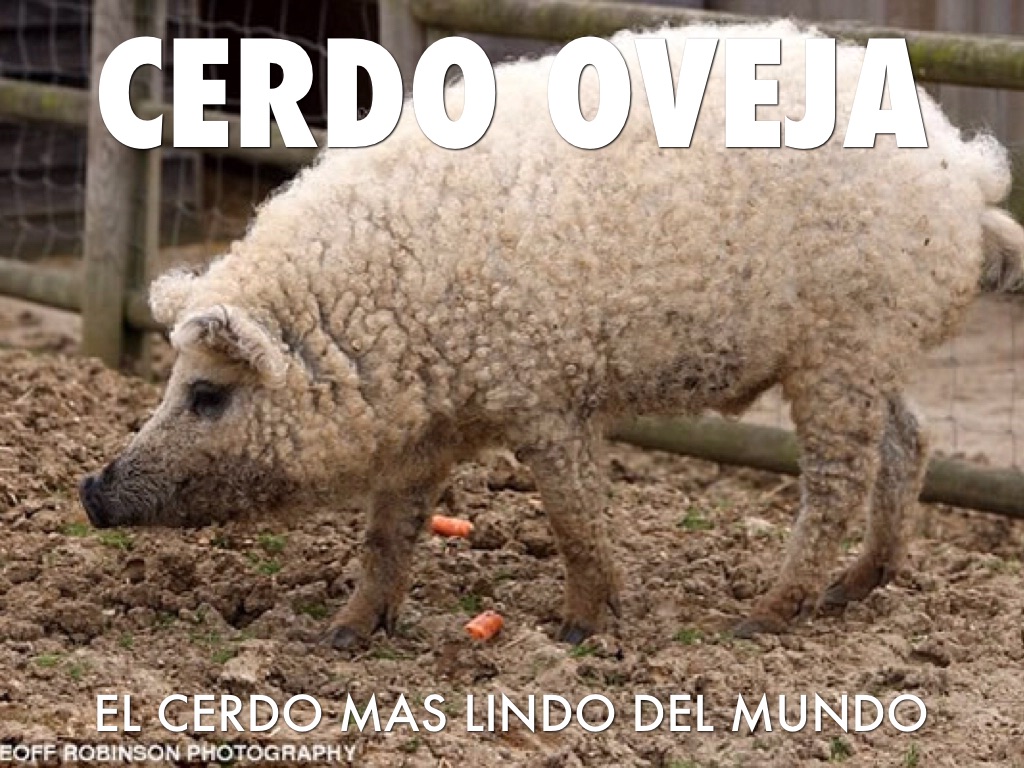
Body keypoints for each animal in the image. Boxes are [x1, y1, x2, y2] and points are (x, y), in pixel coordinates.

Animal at [79, 20, 1024, 646]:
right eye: (173, 384)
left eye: (207, 393)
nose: (91, 490)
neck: (392, 311)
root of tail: (967, 174)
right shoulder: (429, 432)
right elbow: (388, 528)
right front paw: (344, 636)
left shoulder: (545, 394)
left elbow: (573, 511)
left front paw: (577, 630)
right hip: (871, 349)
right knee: (912, 437)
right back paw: (854, 592)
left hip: (841, 347)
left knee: (837, 478)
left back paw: (761, 616)